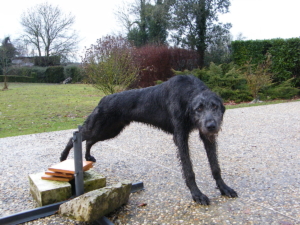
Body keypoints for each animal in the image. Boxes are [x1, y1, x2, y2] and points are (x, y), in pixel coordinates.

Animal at [61, 74, 238, 205]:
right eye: (199, 108)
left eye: (215, 106)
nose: (211, 126)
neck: (188, 93)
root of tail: (103, 98)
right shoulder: (180, 137)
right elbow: (189, 170)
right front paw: (197, 194)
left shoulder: (207, 137)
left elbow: (215, 167)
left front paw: (224, 188)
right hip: (100, 127)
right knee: (76, 136)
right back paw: (63, 157)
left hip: (110, 130)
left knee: (89, 140)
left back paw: (87, 156)